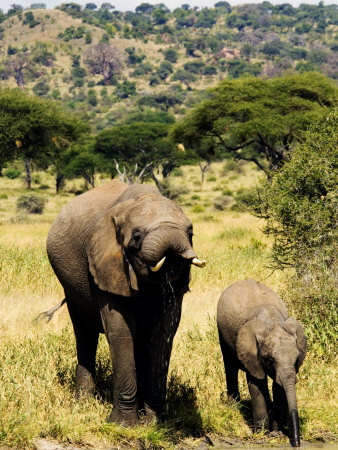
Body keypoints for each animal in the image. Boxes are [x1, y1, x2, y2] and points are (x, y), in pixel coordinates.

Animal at [46, 179, 205, 426]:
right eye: (137, 236)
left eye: (190, 232)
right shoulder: (106, 265)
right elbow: (120, 330)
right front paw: (124, 425)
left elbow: (162, 332)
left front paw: (153, 423)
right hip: (70, 287)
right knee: (84, 333)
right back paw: (83, 403)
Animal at [218, 278, 308, 446]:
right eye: (269, 360)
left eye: (296, 360)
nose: (296, 444)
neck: (272, 322)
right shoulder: (251, 352)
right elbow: (256, 383)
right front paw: (261, 434)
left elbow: (279, 386)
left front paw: (277, 433)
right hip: (222, 333)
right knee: (230, 366)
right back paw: (233, 407)